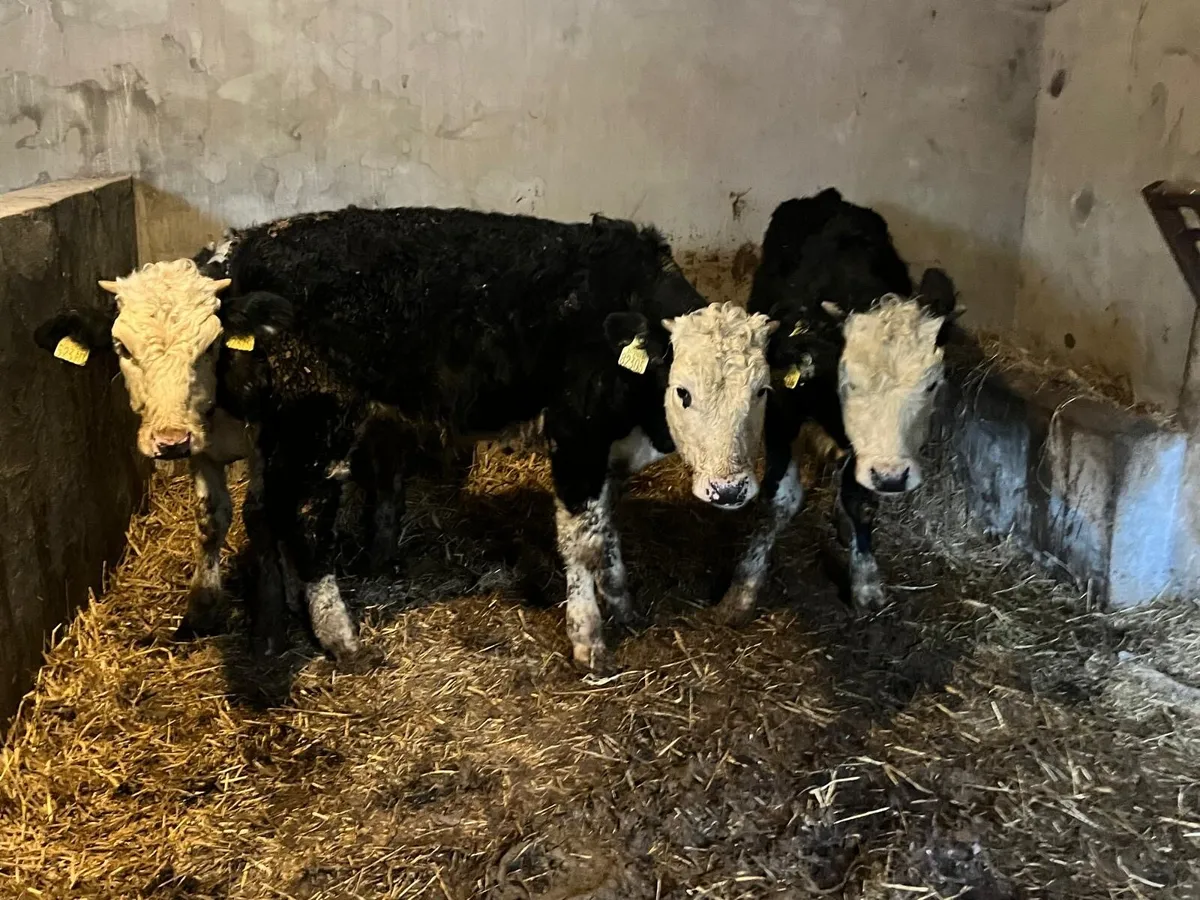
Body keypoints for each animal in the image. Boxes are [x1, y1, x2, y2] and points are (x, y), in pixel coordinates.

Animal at [197, 205, 778, 673]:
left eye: (762, 391)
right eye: (682, 391)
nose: (730, 490)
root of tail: (246, 245)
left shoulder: (605, 450)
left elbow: (607, 530)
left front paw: (622, 603)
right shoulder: (575, 438)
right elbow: (582, 541)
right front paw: (589, 641)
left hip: (278, 428)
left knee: (264, 510)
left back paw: (278, 619)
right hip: (317, 420)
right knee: (302, 518)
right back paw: (340, 636)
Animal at [714, 188, 961, 624]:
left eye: (932, 384)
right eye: (852, 383)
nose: (892, 478)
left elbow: (860, 502)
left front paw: (865, 583)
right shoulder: (782, 410)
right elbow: (778, 499)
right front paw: (742, 588)